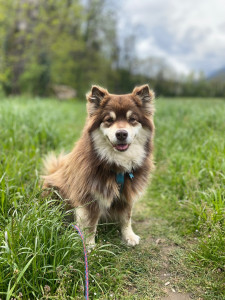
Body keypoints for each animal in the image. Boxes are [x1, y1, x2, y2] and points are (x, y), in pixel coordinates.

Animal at [41, 84, 155, 246]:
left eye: (132, 119)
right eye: (109, 120)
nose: (121, 134)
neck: (117, 167)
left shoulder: (127, 193)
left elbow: (126, 218)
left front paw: (129, 236)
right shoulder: (89, 197)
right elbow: (90, 226)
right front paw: (89, 246)